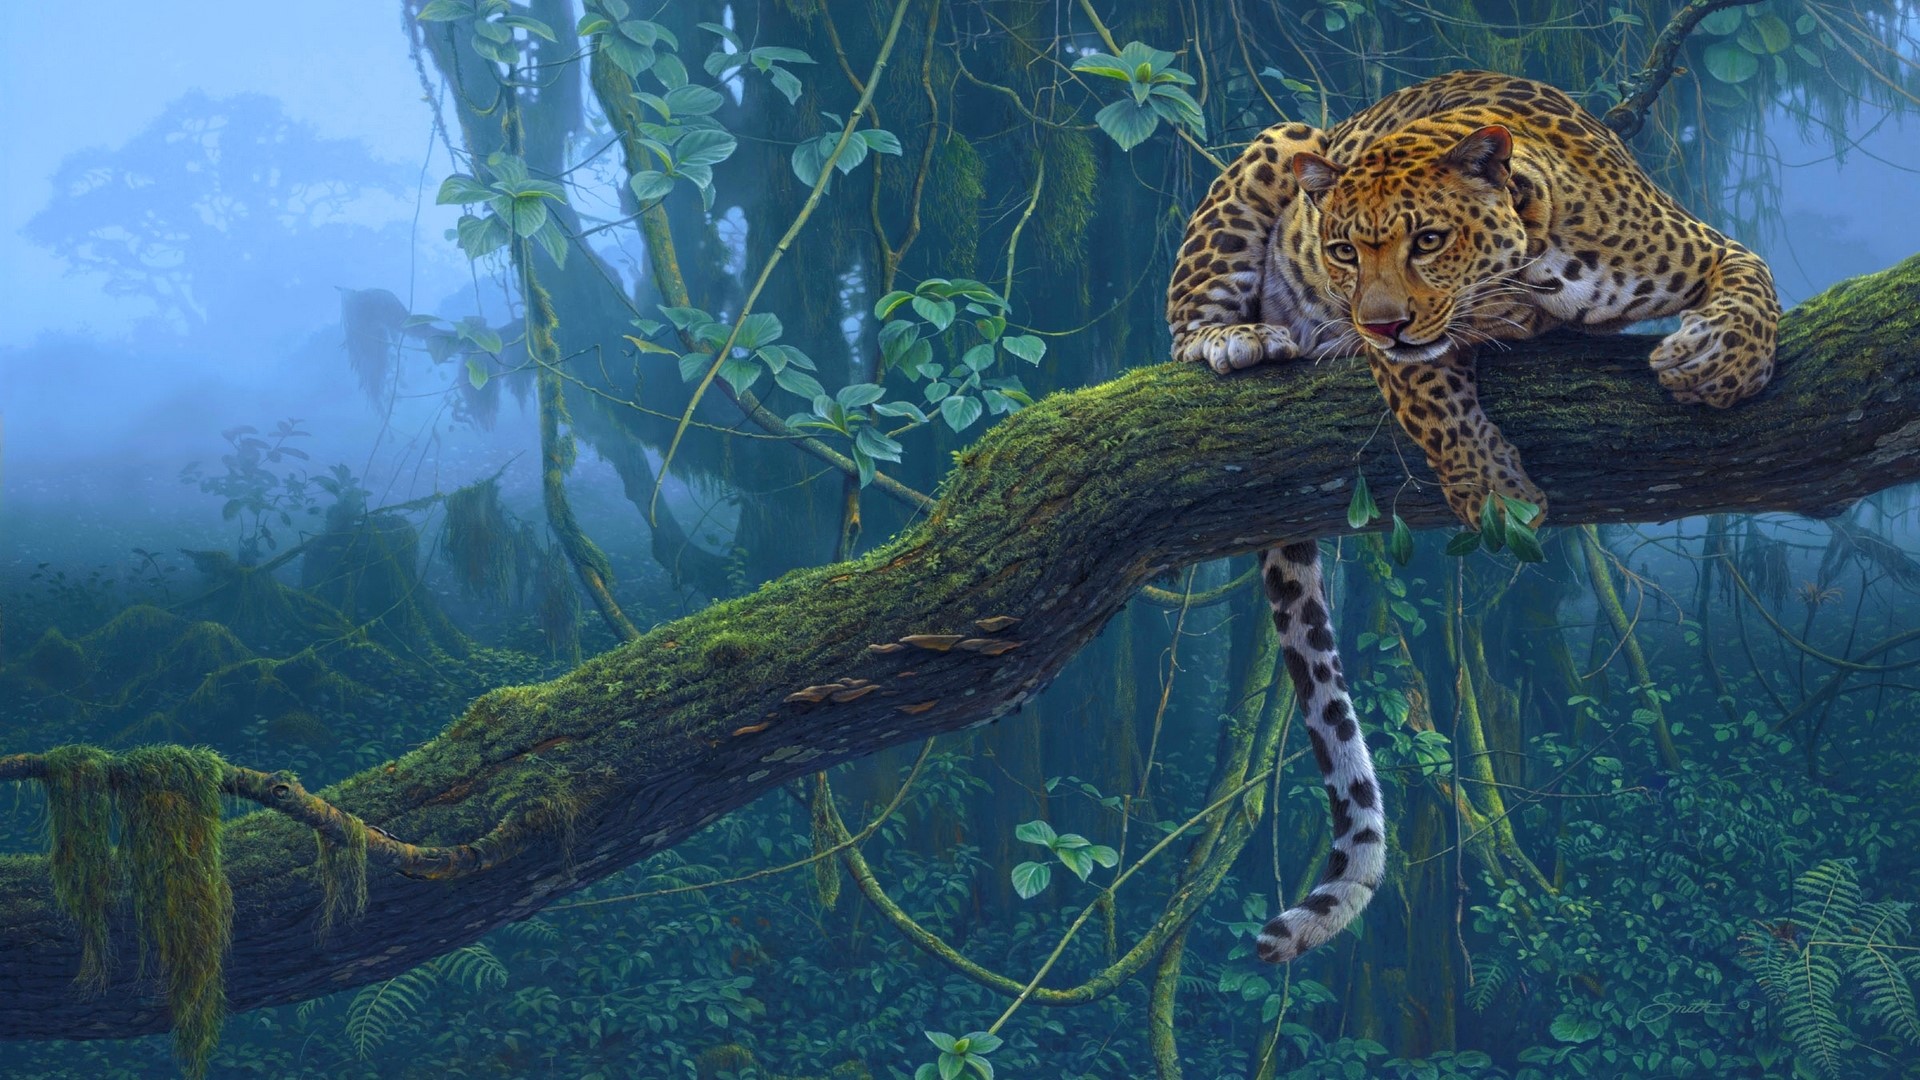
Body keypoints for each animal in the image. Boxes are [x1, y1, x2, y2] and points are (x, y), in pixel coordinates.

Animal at [1166, 71, 1779, 963]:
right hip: (1282, 141)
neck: (1536, 268)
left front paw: (1718, 364)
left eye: (1427, 239)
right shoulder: (1403, 356)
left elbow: (1754, 279)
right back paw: (1238, 338)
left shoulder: (1700, 245)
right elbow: (1433, 398)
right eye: (1342, 250)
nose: (1377, 321)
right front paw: (1495, 492)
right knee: (1184, 328)